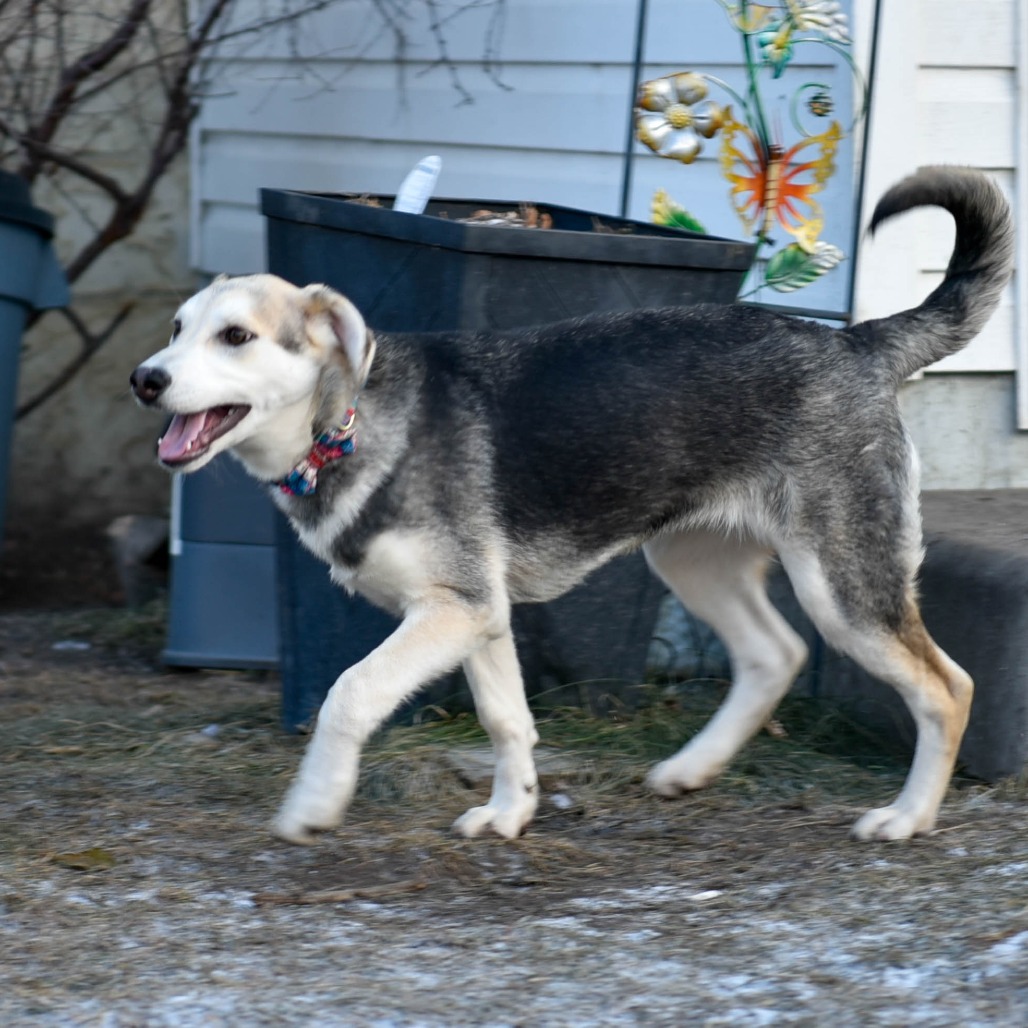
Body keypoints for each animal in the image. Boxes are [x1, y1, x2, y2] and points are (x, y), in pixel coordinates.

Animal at [131, 166, 1013, 846]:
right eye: (175, 330)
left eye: (236, 337)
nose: (145, 378)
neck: (341, 424)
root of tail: (856, 341)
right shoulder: (479, 618)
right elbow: (506, 721)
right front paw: (509, 812)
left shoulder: (453, 611)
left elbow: (349, 693)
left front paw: (315, 804)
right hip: (693, 563)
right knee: (776, 654)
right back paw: (692, 768)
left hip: (843, 589)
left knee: (950, 688)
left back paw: (908, 817)